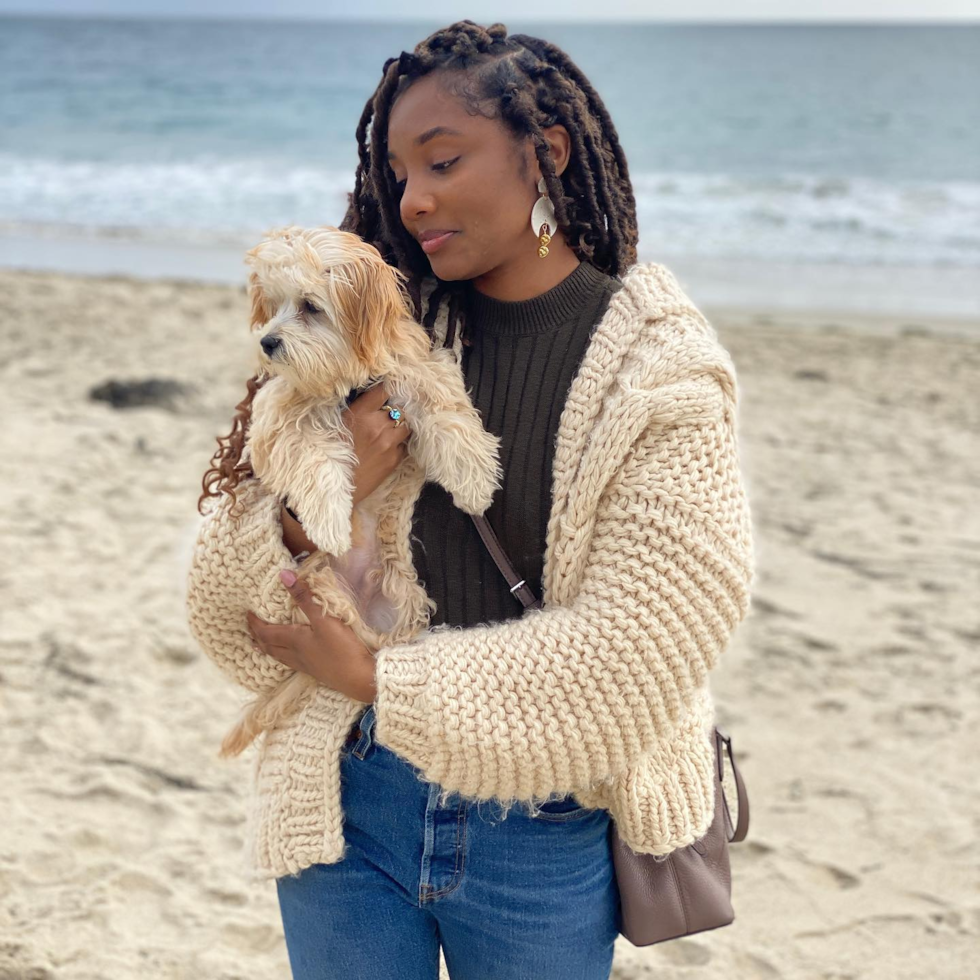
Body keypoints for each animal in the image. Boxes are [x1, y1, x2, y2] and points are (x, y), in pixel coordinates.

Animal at [218, 228, 502, 756]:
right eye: (274, 306)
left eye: (309, 306)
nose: (267, 342)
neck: (346, 378)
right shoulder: (280, 418)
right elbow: (315, 461)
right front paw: (330, 522)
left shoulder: (417, 373)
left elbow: (448, 414)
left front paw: (474, 481)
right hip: (318, 586)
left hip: (403, 597)